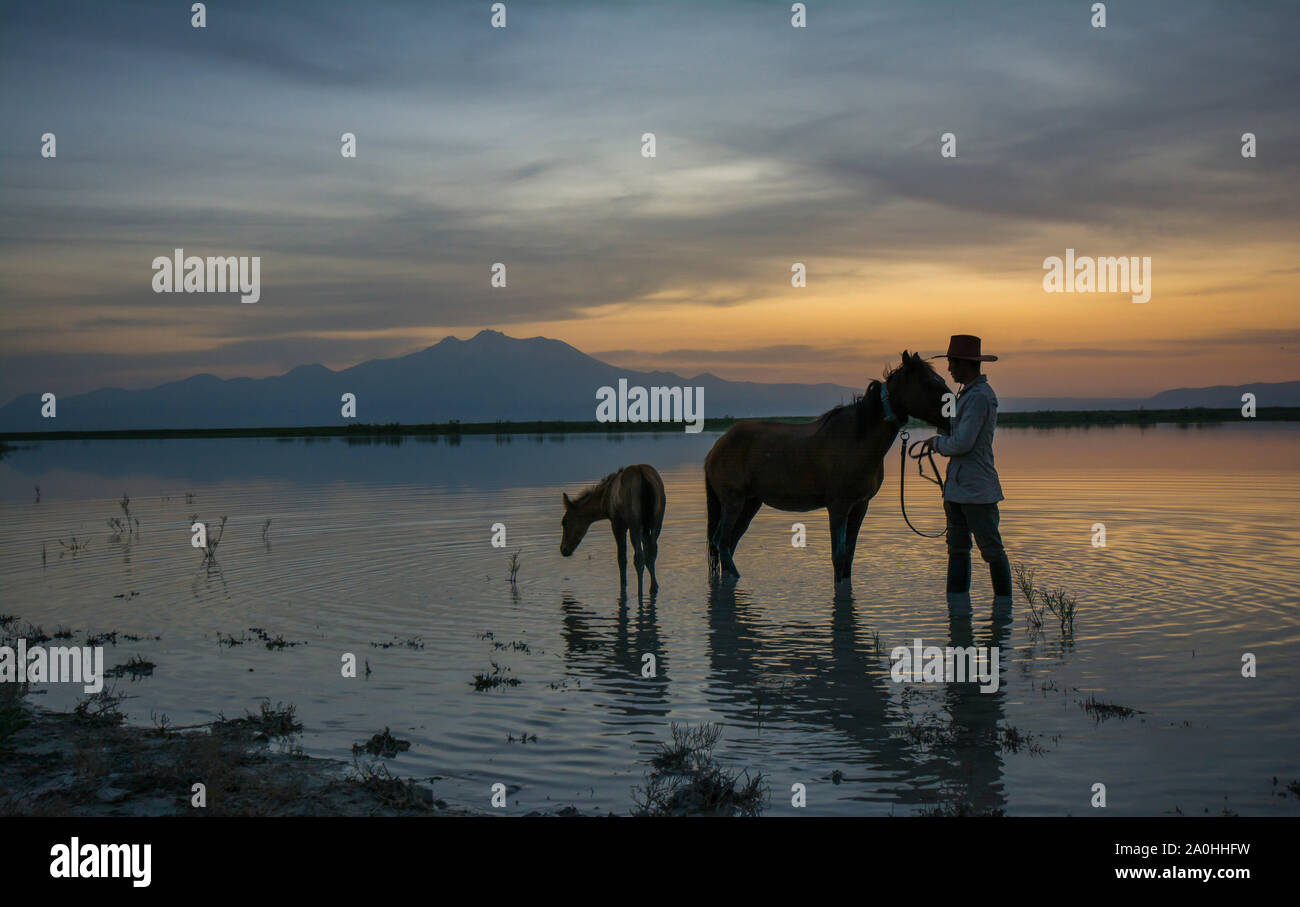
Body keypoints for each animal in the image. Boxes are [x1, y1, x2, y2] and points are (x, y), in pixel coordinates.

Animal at [559, 462, 665, 597]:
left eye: (564, 521)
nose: (563, 549)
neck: (603, 503)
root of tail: (644, 478)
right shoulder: (644, 528)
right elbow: (647, 553)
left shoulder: (617, 523)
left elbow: (622, 558)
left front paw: (623, 585)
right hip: (657, 520)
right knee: (651, 552)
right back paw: (653, 587)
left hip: (634, 522)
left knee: (638, 557)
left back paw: (639, 593)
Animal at [707, 350, 951, 589]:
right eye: (929, 382)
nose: (953, 415)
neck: (858, 440)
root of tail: (717, 447)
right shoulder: (838, 506)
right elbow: (839, 556)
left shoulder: (860, 505)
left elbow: (849, 555)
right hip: (734, 501)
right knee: (722, 542)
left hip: (750, 502)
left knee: (729, 542)